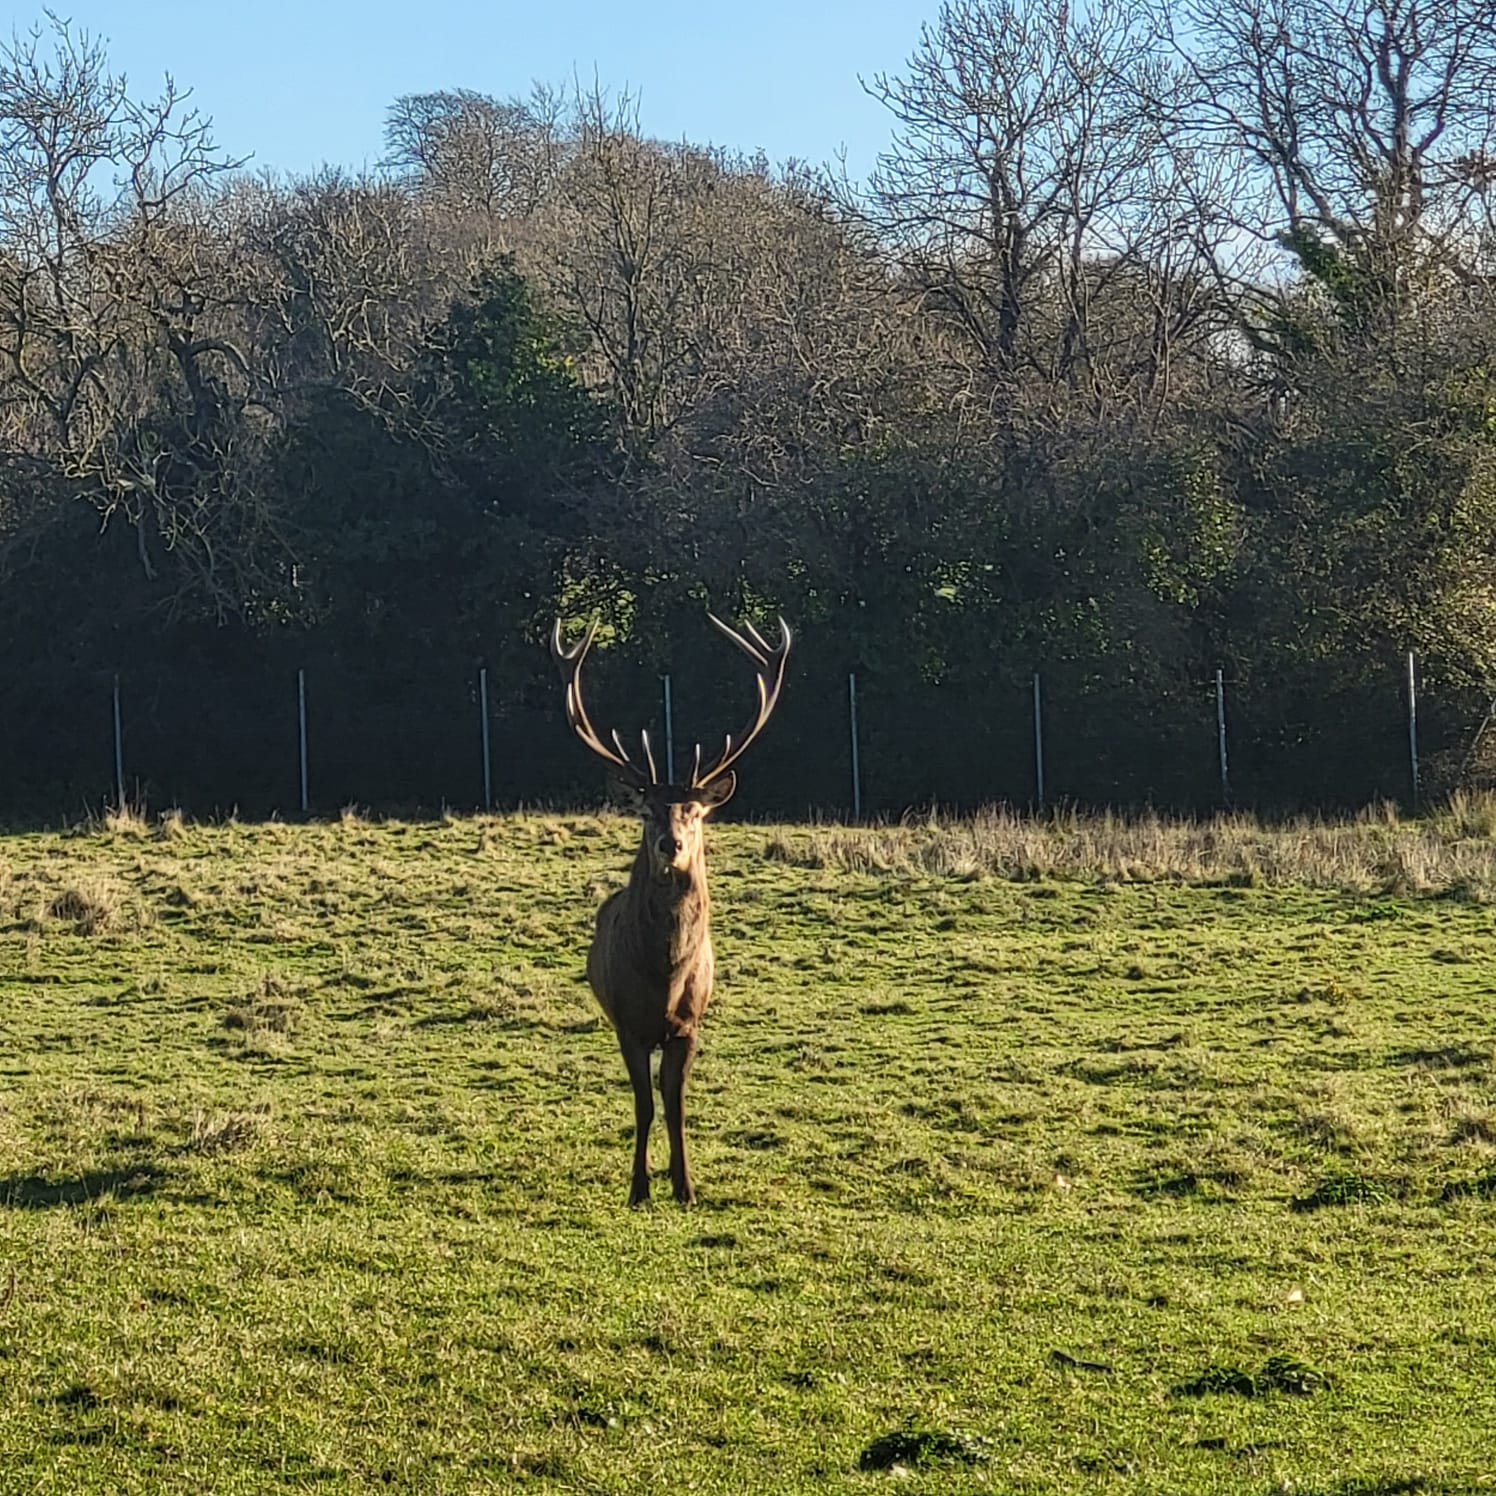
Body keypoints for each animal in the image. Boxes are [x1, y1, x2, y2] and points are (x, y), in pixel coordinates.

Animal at [549, 613, 791, 1206]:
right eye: (647, 811)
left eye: (694, 811)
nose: (670, 844)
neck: (663, 975)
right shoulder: (628, 1025)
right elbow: (643, 1105)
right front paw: (639, 1187)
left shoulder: (689, 1025)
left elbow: (676, 1105)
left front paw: (685, 1186)